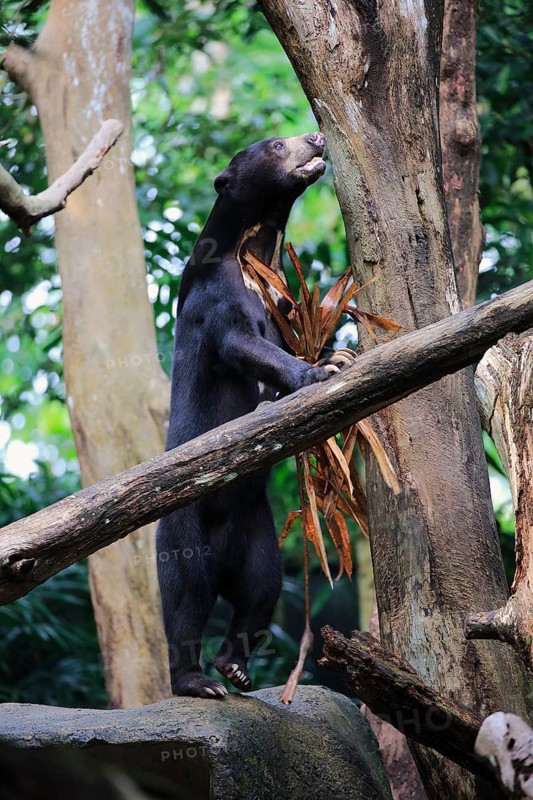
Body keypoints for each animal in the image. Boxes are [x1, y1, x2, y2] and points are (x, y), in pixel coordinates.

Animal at [157, 132, 351, 698]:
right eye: (276, 145)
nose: (316, 137)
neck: (256, 250)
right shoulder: (217, 295)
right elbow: (244, 343)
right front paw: (317, 374)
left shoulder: (282, 299)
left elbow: (286, 340)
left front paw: (334, 355)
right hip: (182, 530)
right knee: (187, 598)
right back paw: (198, 682)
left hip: (259, 536)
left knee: (260, 593)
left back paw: (235, 667)